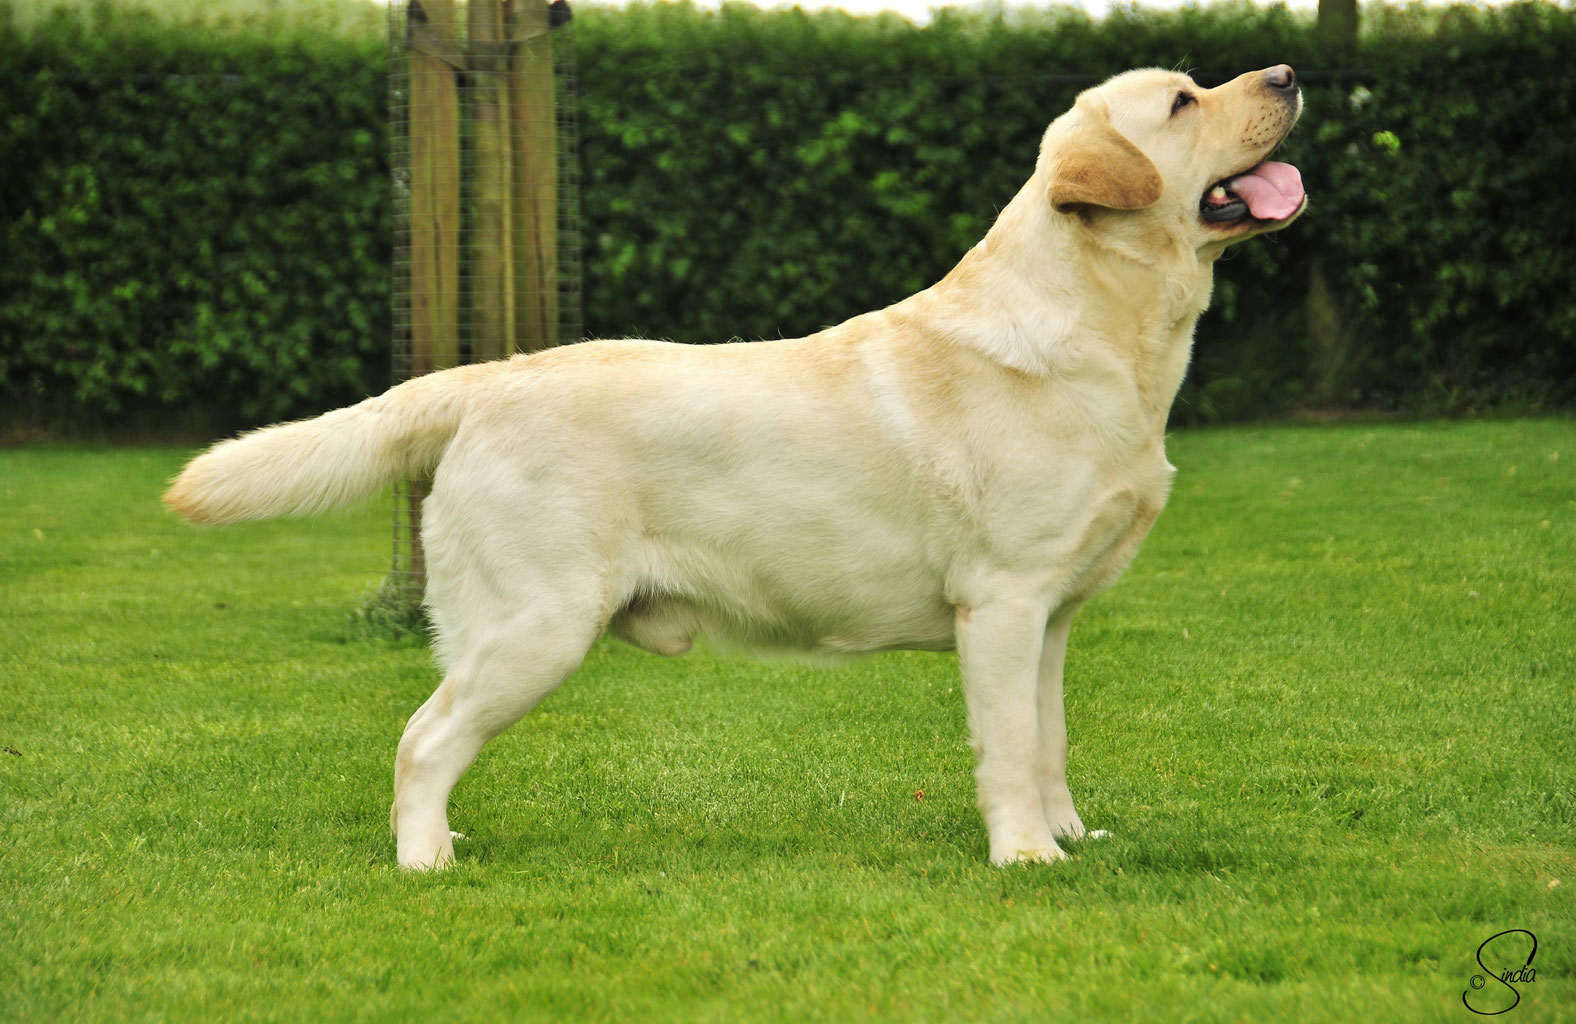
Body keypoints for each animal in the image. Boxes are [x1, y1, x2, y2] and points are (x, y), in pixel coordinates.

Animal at [169, 63, 1304, 863]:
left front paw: (1071, 839)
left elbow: (1050, 740)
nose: (1289, 73)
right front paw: (1025, 856)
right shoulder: (1003, 600)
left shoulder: (1053, 617)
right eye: (1183, 101)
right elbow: (1011, 750)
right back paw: (424, 864)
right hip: (535, 625)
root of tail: (484, 380)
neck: (1104, 328)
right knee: (423, 739)